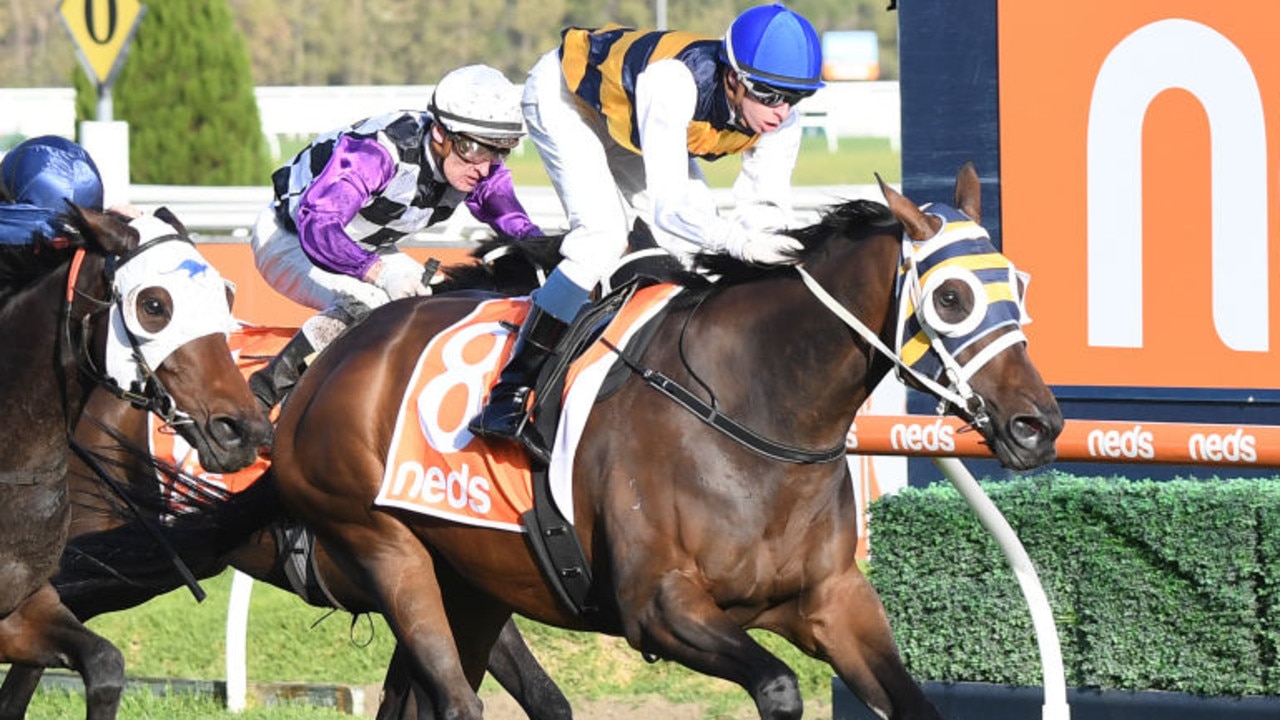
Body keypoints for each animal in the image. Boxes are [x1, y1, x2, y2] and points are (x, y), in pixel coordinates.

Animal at [267, 163, 1059, 717]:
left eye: (1019, 283)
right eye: (952, 297)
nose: (1038, 425)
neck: (754, 411)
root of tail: (333, 359)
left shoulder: (832, 601)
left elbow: (911, 699)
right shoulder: (659, 607)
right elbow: (779, 687)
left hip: (473, 578)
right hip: (386, 551)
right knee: (456, 700)